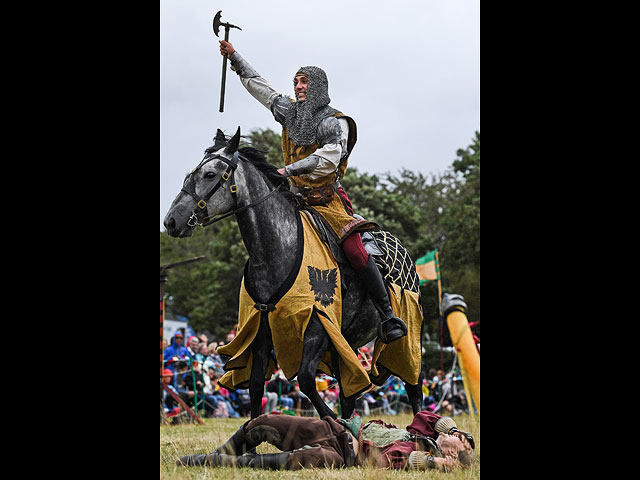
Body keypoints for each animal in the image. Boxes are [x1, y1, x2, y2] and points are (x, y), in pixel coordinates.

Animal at [164, 127, 424, 420]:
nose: (172, 221)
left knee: (413, 384)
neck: (275, 252)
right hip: (347, 342)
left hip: (407, 331)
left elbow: (307, 380)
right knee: (349, 392)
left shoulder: (316, 327)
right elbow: (256, 385)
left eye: (209, 175)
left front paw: (330, 420)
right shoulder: (260, 332)